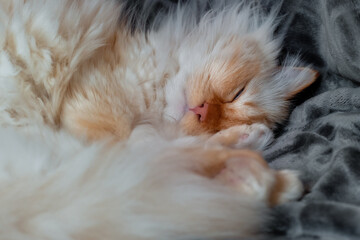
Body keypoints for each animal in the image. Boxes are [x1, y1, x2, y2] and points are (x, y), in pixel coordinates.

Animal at [0, 0, 316, 239]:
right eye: (237, 94)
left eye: (230, 105)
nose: (201, 111)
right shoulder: (91, 120)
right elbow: (148, 150)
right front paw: (247, 138)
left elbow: (157, 147)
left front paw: (244, 135)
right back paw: (266, 177)